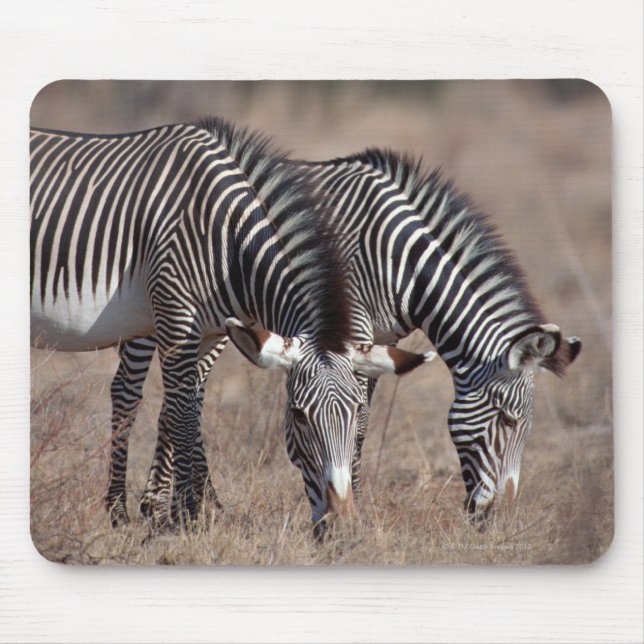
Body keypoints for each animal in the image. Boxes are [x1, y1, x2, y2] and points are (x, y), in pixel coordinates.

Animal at [29, 120, 433, 534]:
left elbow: (189, 406)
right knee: (127, 393)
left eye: (356, 413)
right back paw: (119, 512)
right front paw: (184, 517)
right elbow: (181, 413)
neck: (225, 240)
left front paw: (183, 511)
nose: (343, 526)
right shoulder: (176, 318)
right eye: (298, 415)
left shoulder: (207, 333)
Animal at [106, 147, 581, 526]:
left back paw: (188, 504)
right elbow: (359, 419)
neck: (401, 261)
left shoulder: (377, 342)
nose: (500, 518)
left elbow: (360, 418)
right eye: (508, 421)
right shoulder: (351, 327)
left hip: (217, 319)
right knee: (130, 388)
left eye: (527, 427)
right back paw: (139, 508)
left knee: (189, 392)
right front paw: (350, 499)